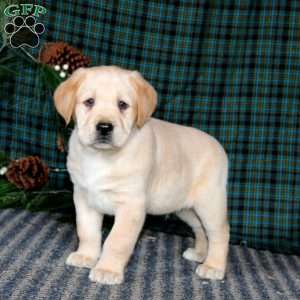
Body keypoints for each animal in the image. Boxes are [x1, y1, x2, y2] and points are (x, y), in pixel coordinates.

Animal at [54, 65, 229, 284]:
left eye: (122, 105)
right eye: (89, 102)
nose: (104, 127)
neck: (101, 157)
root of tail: (219, 147)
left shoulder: (131, 205)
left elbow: (116, 241)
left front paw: (107, 270)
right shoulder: (84, 198)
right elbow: (87, 232)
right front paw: (86, 256)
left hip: (209, 203)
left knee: (220, 233)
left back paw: (213, 266)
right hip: (186, 208)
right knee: (200, 228)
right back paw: (199, 254)